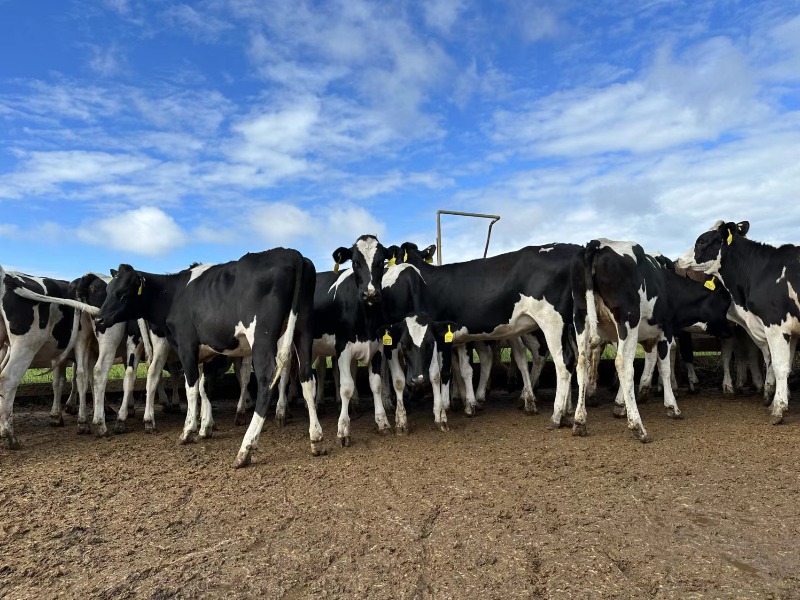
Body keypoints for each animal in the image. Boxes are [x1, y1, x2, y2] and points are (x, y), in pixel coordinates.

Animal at [89, 248, 320, 468]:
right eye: (108, 291)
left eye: (122, 293)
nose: (99, 319)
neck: (173, 294)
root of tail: (292, 254)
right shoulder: (209, 355)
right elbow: (205, 388)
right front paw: (206, 427)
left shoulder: (186, 345)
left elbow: (191, 388)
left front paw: (188, 430)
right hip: (303, 330)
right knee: (306, 377)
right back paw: (316, 438)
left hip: (261, 336)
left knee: (267, 380)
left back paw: (245, 448)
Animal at [572, 239, 736, 440]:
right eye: (725, 303)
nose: (731, 330)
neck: (669, 286)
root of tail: (596, 244)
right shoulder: (665, 332)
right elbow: (663, 368)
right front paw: (672, 406)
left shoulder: (646, 337)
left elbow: (650, 363)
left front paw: (622, 404)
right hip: (628, 321)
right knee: (623, 364)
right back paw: (637, 426)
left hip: (581, 320)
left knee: (582, 362)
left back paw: (579, 421)